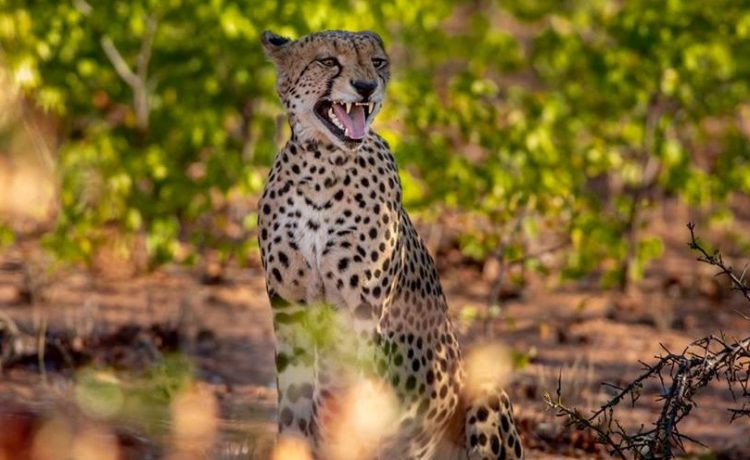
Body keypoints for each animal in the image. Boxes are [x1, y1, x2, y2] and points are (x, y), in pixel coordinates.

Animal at [258, 29, 524, 460]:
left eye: (377, 62)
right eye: (328, 61)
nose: (366, 87)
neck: (322, 165)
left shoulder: (363, 312)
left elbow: (354, 398)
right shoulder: (288, 307)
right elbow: (293, 405)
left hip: (482, 388)